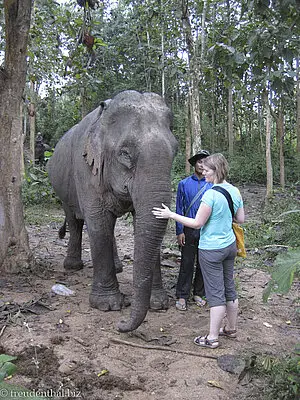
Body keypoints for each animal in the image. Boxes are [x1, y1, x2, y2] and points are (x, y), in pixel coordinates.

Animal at [47, 90, 178, 332]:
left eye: (175, 151)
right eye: (125, 154)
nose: (121, 325)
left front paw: (159, 304)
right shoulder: (86, 170)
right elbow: (98, 224)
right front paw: (108, 305)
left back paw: (117, 267)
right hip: (63, 190)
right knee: (75, 221)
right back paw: (72, 267)